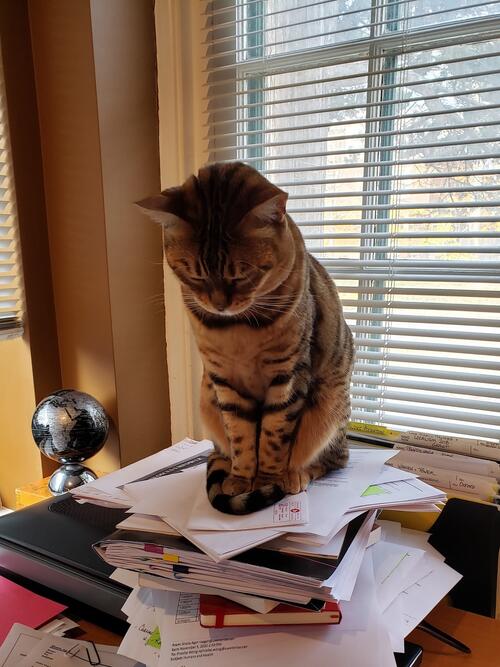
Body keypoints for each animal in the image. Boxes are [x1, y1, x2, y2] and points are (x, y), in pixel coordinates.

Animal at [139, 163, 354, 516]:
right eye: (194, 275)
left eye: (243, 275)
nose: (219, 304)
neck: (238, 329)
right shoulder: (224, 380)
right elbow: (240, 435)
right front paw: (242, 479)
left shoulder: (288, 376)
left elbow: (273, 436)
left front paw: (267, 479)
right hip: (208, 401)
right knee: (223, 450)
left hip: (329, 406)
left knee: (335, 460)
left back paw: (295, 474)